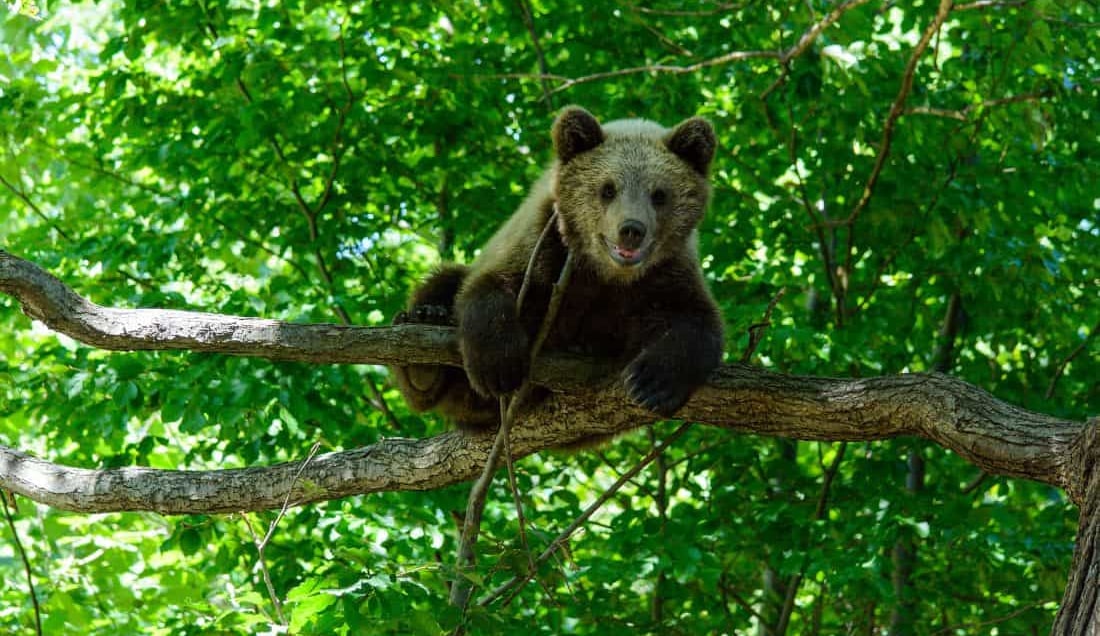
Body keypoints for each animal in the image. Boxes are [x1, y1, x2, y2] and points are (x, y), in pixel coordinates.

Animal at [391, 106, 724, 430]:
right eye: (608, 189)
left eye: (659, 194)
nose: (631, 229)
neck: (605, 273)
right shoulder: (541, 243)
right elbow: (490, 287)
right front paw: (498, 365)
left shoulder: (666, 273)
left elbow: (697, 322)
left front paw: (652, 382)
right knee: (444, 281)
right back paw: (424, 340)